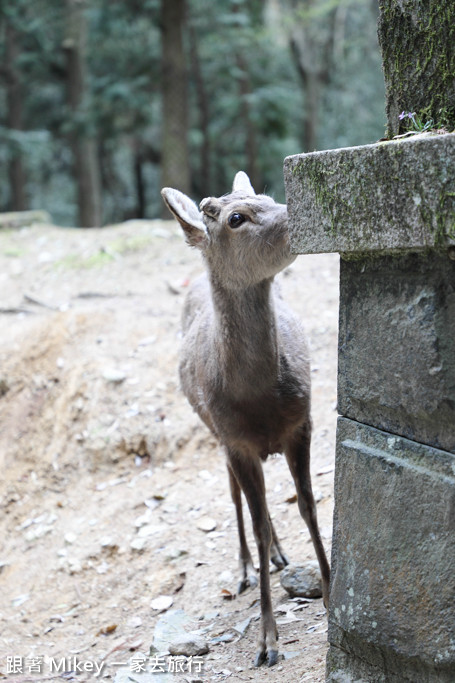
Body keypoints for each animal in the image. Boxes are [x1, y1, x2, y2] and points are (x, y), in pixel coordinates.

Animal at [161, 172, 332, 668]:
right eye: (236, 218)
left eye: (269, 197)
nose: (298, 215)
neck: (259, 404)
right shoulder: (234, 440)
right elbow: (255, 523)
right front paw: (267, 642)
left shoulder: (302, 421)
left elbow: (309, 507)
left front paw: (332, 593)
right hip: (215, 435)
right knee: (236, 497)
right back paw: (245, 570)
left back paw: (279, 556)